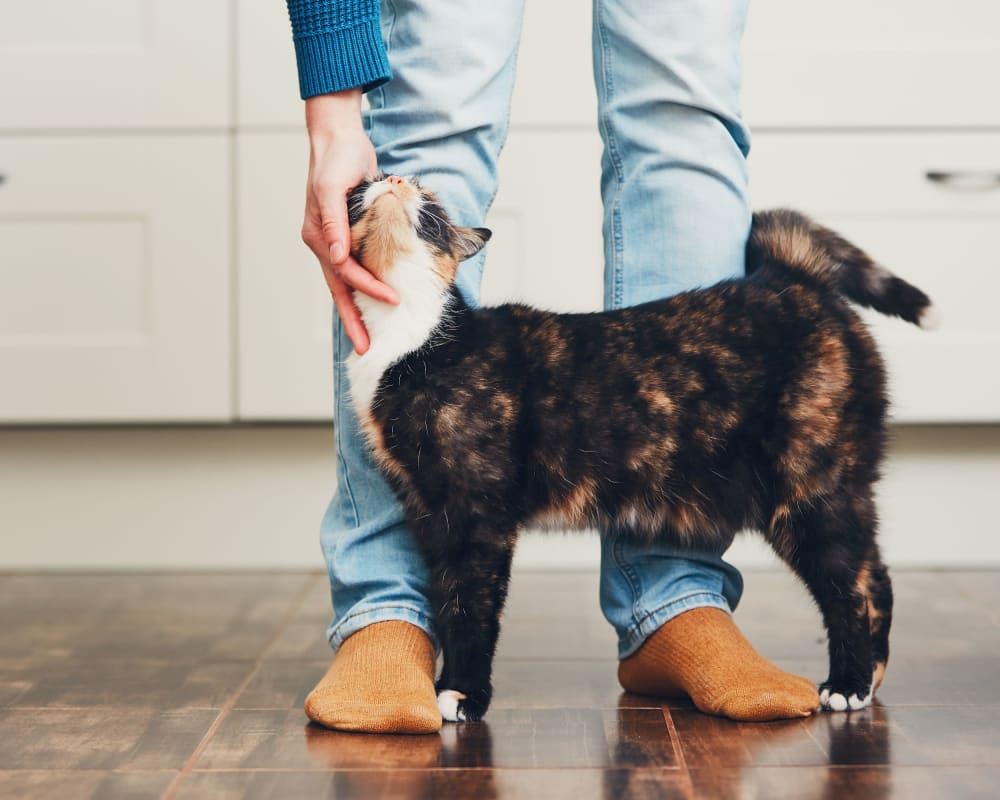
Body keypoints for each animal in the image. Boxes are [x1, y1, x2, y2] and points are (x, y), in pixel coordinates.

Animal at [340, 175, 932, 724]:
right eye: (366, 184)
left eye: (430, 201)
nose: (394, 179)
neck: (411, 338)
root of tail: (791, 278)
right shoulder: (430, 512)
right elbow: (447, 600)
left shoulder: (478, 515)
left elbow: (472, 607)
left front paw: (463, 693)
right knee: (875, 575)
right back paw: (870, 678)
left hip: (810, 489)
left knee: (850, 587)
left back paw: (848, 684)